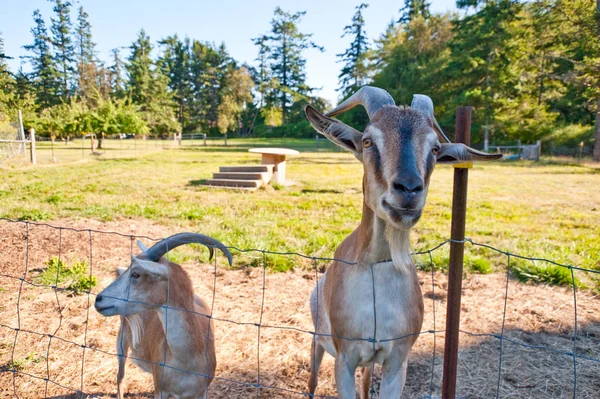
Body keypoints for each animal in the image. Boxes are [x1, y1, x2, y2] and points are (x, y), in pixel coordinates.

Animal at [95, 233, 233, 399]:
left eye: (136, 274)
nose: (98, 299)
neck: (186, 361)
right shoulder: (160, 390)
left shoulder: (202, 392)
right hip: (122, 339)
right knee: (120, 376)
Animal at [304, 86, 502, 396]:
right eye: (368, 140)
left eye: (435, 148)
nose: (408, 189)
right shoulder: (345, 358)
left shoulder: (397, 360)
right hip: (318, 342)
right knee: (312, 381)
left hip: (369, 364)